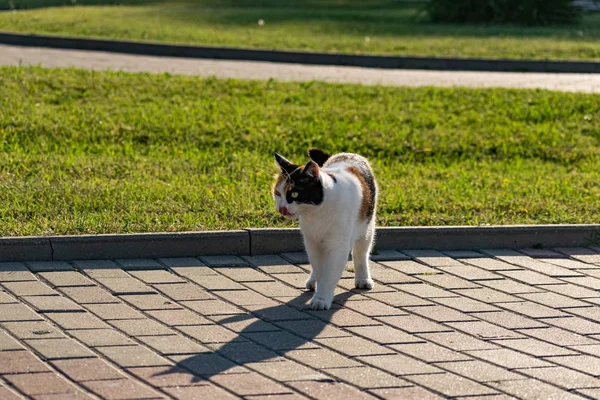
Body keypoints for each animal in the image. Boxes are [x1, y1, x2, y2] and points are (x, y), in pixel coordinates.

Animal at [274, 148, 378, 310]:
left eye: (295, 193)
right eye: (278, 193)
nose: (282, 208)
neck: (317, 213)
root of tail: (347, 154)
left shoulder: (338, 247)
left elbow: (329, 274)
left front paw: (321, 299)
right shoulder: (312, 242)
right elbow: (319, 269)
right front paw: (319, 292)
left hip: (367, 227)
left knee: (361, 253)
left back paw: (363, 279)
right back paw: (312, 282)